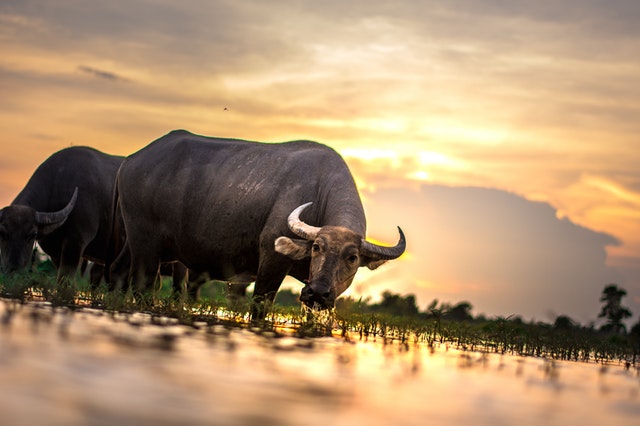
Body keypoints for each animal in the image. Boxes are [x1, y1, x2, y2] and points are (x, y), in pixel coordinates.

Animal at [0, 146, 124, 282]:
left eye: (32, 235)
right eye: (2, 233)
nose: (13, 271)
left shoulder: (76, 242)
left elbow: (65, 279)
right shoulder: (54, 252)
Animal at [111, 131, 404, 318]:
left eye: (352, 257)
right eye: (317, 247)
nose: (318, 292)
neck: (320, 191)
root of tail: (131, 160)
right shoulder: (272, 260)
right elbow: (260, 308)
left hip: (133, 242)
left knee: (118, 271)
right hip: (146, 246)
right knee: (143, 285)